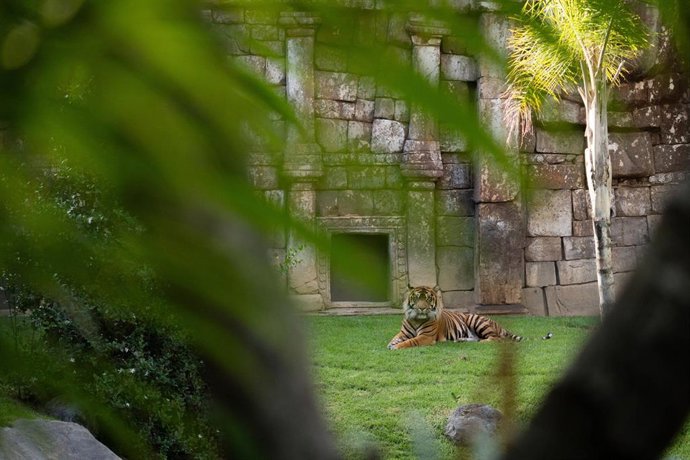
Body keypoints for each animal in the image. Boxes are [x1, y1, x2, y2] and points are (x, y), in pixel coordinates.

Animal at [387, 286, 522, 349]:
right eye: (416, 298)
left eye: (428, 299)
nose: (422, 308)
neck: (416, 319)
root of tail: (498, 324)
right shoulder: (403, 333)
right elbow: (395, 337)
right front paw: (391, 343)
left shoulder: (426, 336)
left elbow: (410, 341)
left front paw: (396, 346)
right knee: (476, 338)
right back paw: (461, 340)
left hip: (476, 321)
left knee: (496, 338)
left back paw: (482, 342)